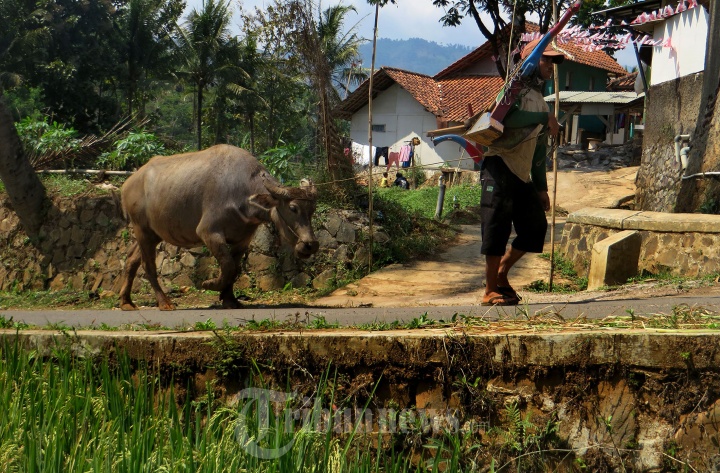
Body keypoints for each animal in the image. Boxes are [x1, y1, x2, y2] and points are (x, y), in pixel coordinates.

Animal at [119, 144, 318, 310]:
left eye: (312, 210)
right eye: (293, 208)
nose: (311, 245)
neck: (242, 195)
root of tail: (128, 184)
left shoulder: (243, 239)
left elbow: (235, 268)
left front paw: (230, 299)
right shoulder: (208, 232)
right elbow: (228, 265)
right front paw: (210, 284)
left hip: (153, 234)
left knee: (132, 259)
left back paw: (126, 301)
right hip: (142, 230)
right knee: (148, 265)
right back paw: (164, 302)